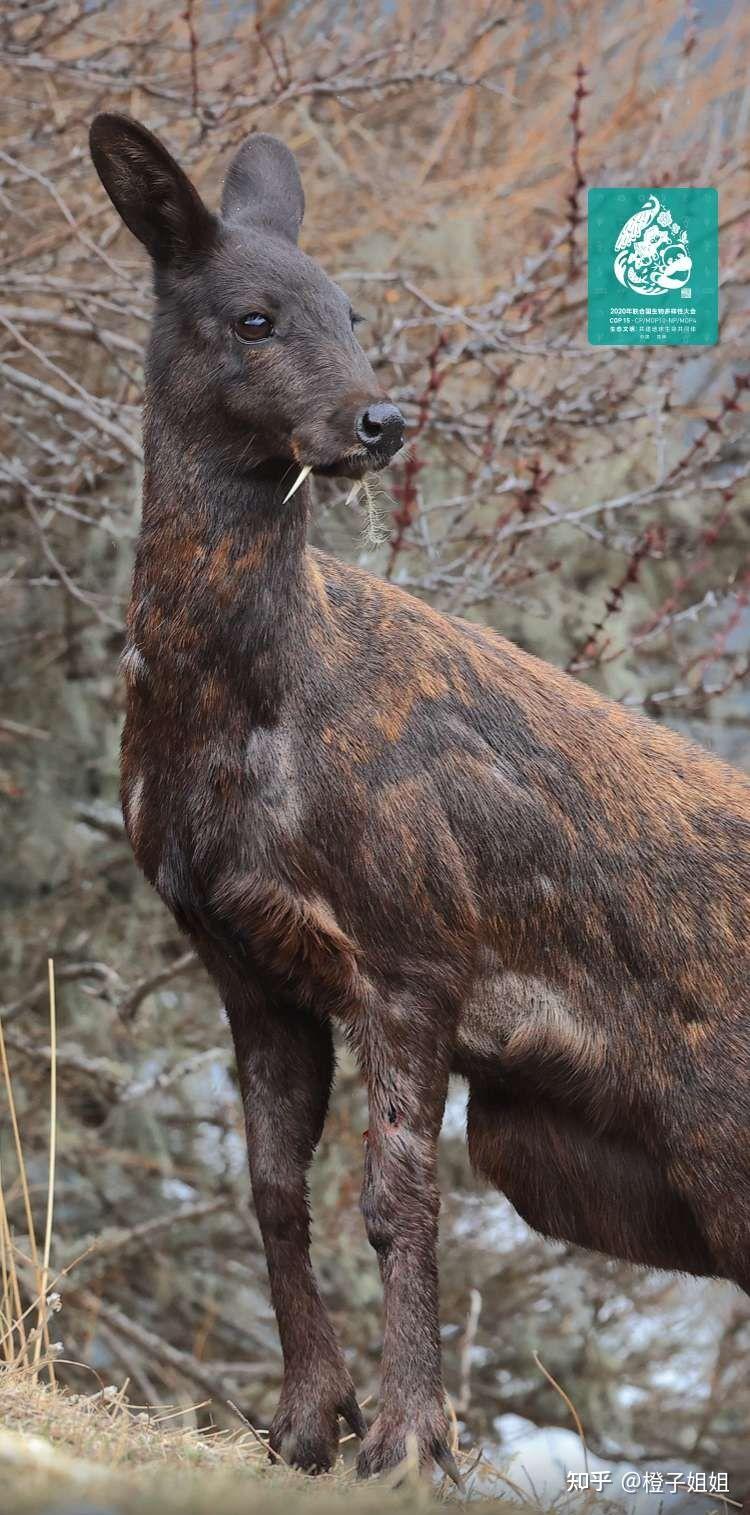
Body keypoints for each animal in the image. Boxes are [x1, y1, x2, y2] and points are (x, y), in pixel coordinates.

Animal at [90, 115, 750, 1478]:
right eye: (252, 317)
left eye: (351, 310)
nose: (378, 421)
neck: (243, 717)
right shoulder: (243, 957)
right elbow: (274, 1188)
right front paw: (306, 1421)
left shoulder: (416, 948)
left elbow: (398, 1200)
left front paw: (408, 1441)